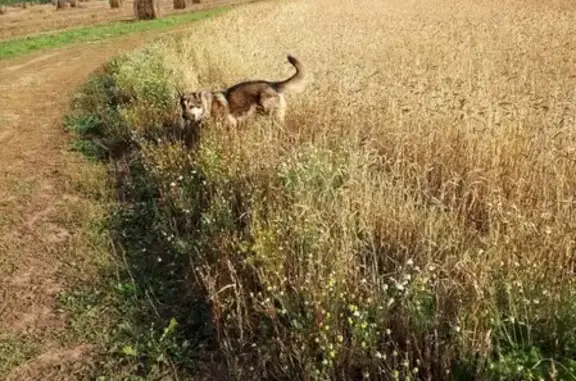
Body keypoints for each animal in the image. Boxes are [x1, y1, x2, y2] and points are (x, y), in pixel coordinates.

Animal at [179, 54, 308, 127]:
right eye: (183, 106)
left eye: (191, 106)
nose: (184, 117)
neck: (208, 105)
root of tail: (272, 84)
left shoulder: (231, 125)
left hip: (273, 115)